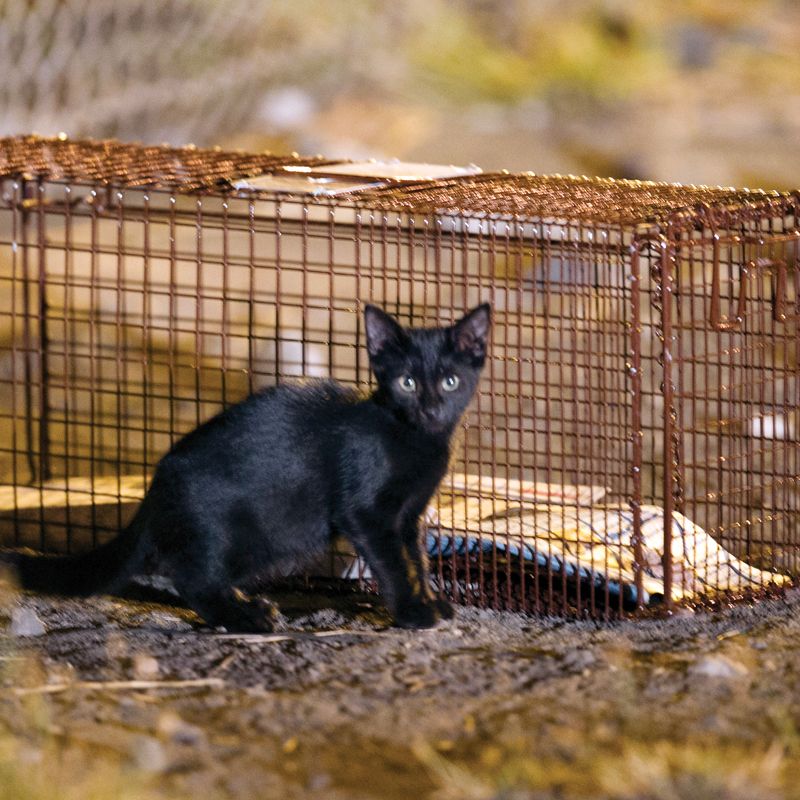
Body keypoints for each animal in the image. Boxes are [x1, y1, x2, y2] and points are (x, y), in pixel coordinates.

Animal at [9, 304, 490, 628]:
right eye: (407, 382)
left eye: (451, 381)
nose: (431, 408)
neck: (413, 439)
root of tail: (156, 487)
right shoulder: (367, 514)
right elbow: (393, 563)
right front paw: (414, 612)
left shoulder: (408, 517)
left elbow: (415, 560)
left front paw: (429, 601)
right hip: (247, 533)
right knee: (189, 576)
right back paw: (243, 617)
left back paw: (246, 604)